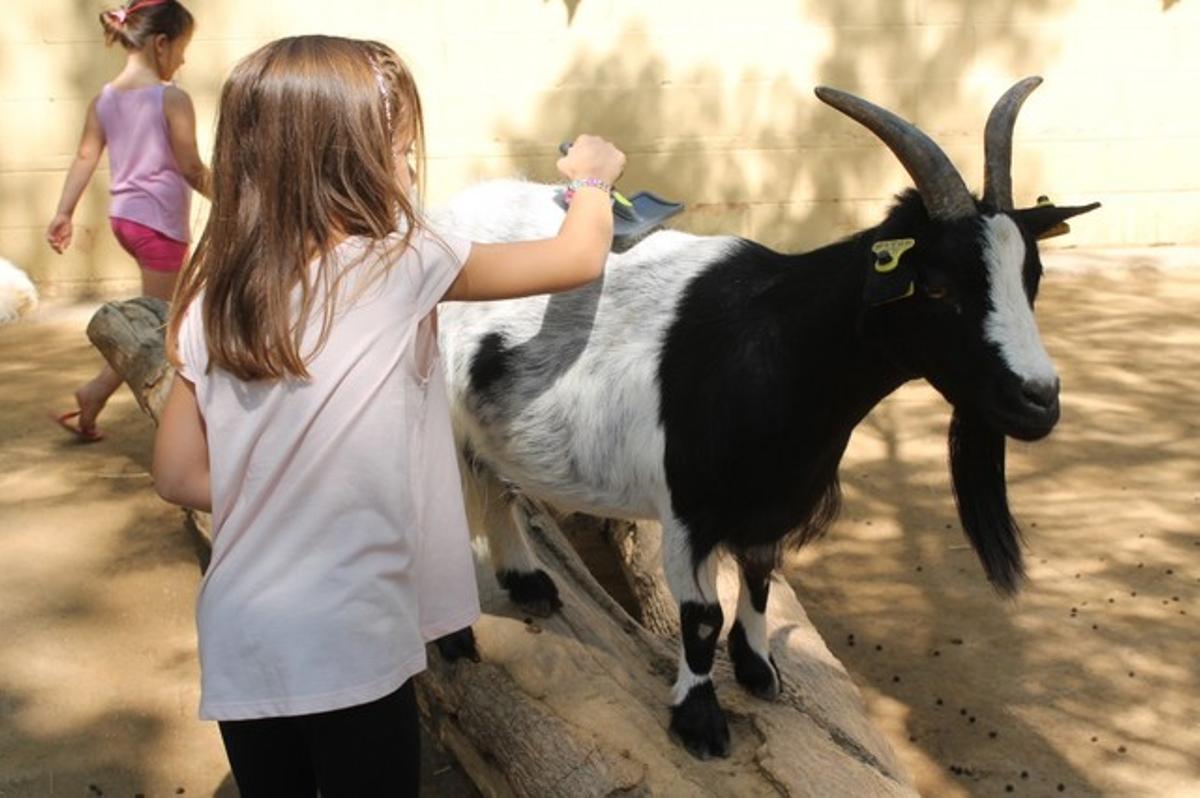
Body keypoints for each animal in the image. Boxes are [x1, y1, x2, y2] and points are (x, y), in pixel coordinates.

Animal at [432, 78, 1099, 758]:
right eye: (936, 287)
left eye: (1033, 276)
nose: (1038, 400)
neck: (776, 345)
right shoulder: (688, 509)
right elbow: (701, 617)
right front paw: (699, 719)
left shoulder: (770, 503)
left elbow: (758, 579)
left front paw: (757, 668)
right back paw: (455, 634)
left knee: (491, 481)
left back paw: (527, 582)